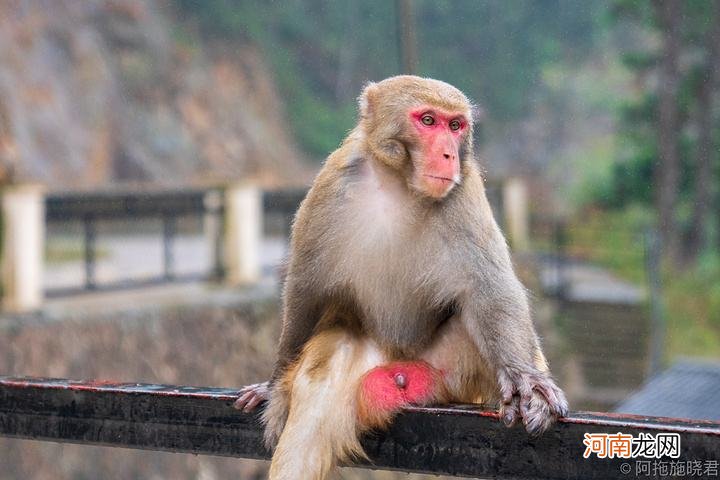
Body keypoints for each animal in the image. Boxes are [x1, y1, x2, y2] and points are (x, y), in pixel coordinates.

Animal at [236, 76, 568, 480]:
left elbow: (488, 289)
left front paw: (525, 381)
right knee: (328, 362)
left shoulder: (465, 192)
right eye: (427, 121)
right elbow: (306, 288)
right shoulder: (332, 185)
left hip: (455, 373)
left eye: (455, 126)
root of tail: (399, 359)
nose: (449, 155)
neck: (399, 185)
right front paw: (274, 386)